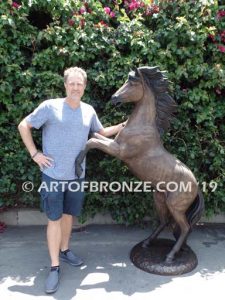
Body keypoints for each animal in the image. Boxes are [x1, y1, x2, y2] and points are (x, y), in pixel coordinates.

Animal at [75, 67, 204, 264]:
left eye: (132, 83)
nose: (113, 98)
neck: (141, 126)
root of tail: (196, 187)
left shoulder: (119, 151)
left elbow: (91, 142)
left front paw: (78, 167)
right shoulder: (114, 144)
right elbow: (94, 137)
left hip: (175, 206)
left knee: (185, 227)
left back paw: (170, 256)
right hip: (159, 198)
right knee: (165, 222)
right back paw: (148, 243)